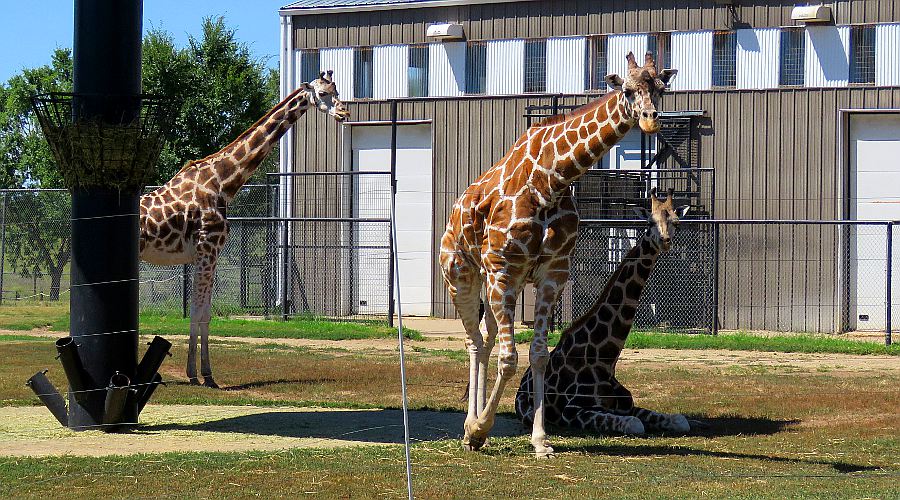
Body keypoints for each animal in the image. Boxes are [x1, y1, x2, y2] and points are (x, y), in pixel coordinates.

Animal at [138, 69, 348, 386]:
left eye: (337, 90)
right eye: (323, 94)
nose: (345, 112)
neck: (222, 183)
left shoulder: (207, 255)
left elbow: (206, 313)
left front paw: (202, 374)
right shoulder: (207, 250)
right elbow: (198, 313)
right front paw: (200, 375)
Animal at [516, 188, 692, 434]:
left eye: (675, 222)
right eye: (649, 221)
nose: (664, 241)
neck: (606, 360)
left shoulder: (627, 403)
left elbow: (680, 420)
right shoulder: (573, 410)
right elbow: (635, 424)